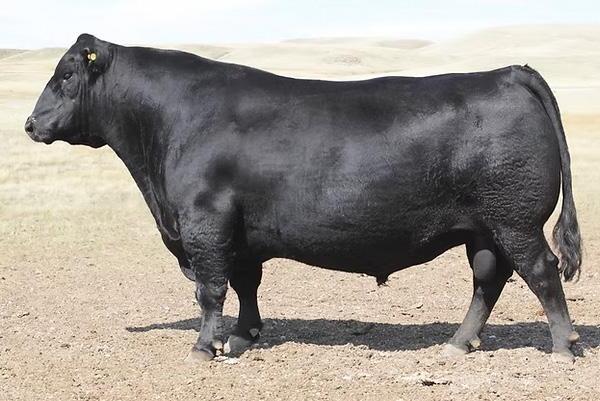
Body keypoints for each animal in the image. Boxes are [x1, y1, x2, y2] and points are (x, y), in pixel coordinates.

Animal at [26, 34, 582, 362]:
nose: (31, 124)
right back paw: (457, 343)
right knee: (489, 279)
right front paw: (244, 335)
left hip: (515, 220)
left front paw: (205, 346)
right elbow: (246, 284)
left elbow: (210, 289)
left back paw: (562, 346)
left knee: (541, 270)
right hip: (483, 227)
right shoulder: (241, 234)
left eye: (66, 75)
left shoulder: (205, 222)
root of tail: (507, 72)